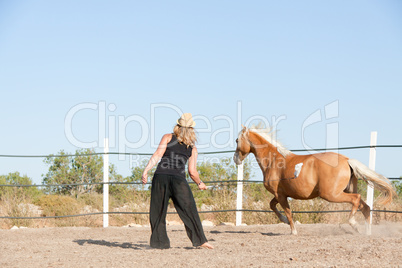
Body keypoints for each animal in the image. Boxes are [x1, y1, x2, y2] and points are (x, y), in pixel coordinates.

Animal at [234, 125, 394, 234]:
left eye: (237, 140)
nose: (236, 159)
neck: (274, 161)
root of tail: (347, 160)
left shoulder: (280, 195)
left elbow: (287, 212)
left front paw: (293, 230)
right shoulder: (281, 194)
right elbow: (272, 206)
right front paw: (285, 222)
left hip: (331, 194)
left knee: (356, 199)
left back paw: (353, 223)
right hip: (345, 190)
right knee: (365, 207)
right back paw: (367, 232)